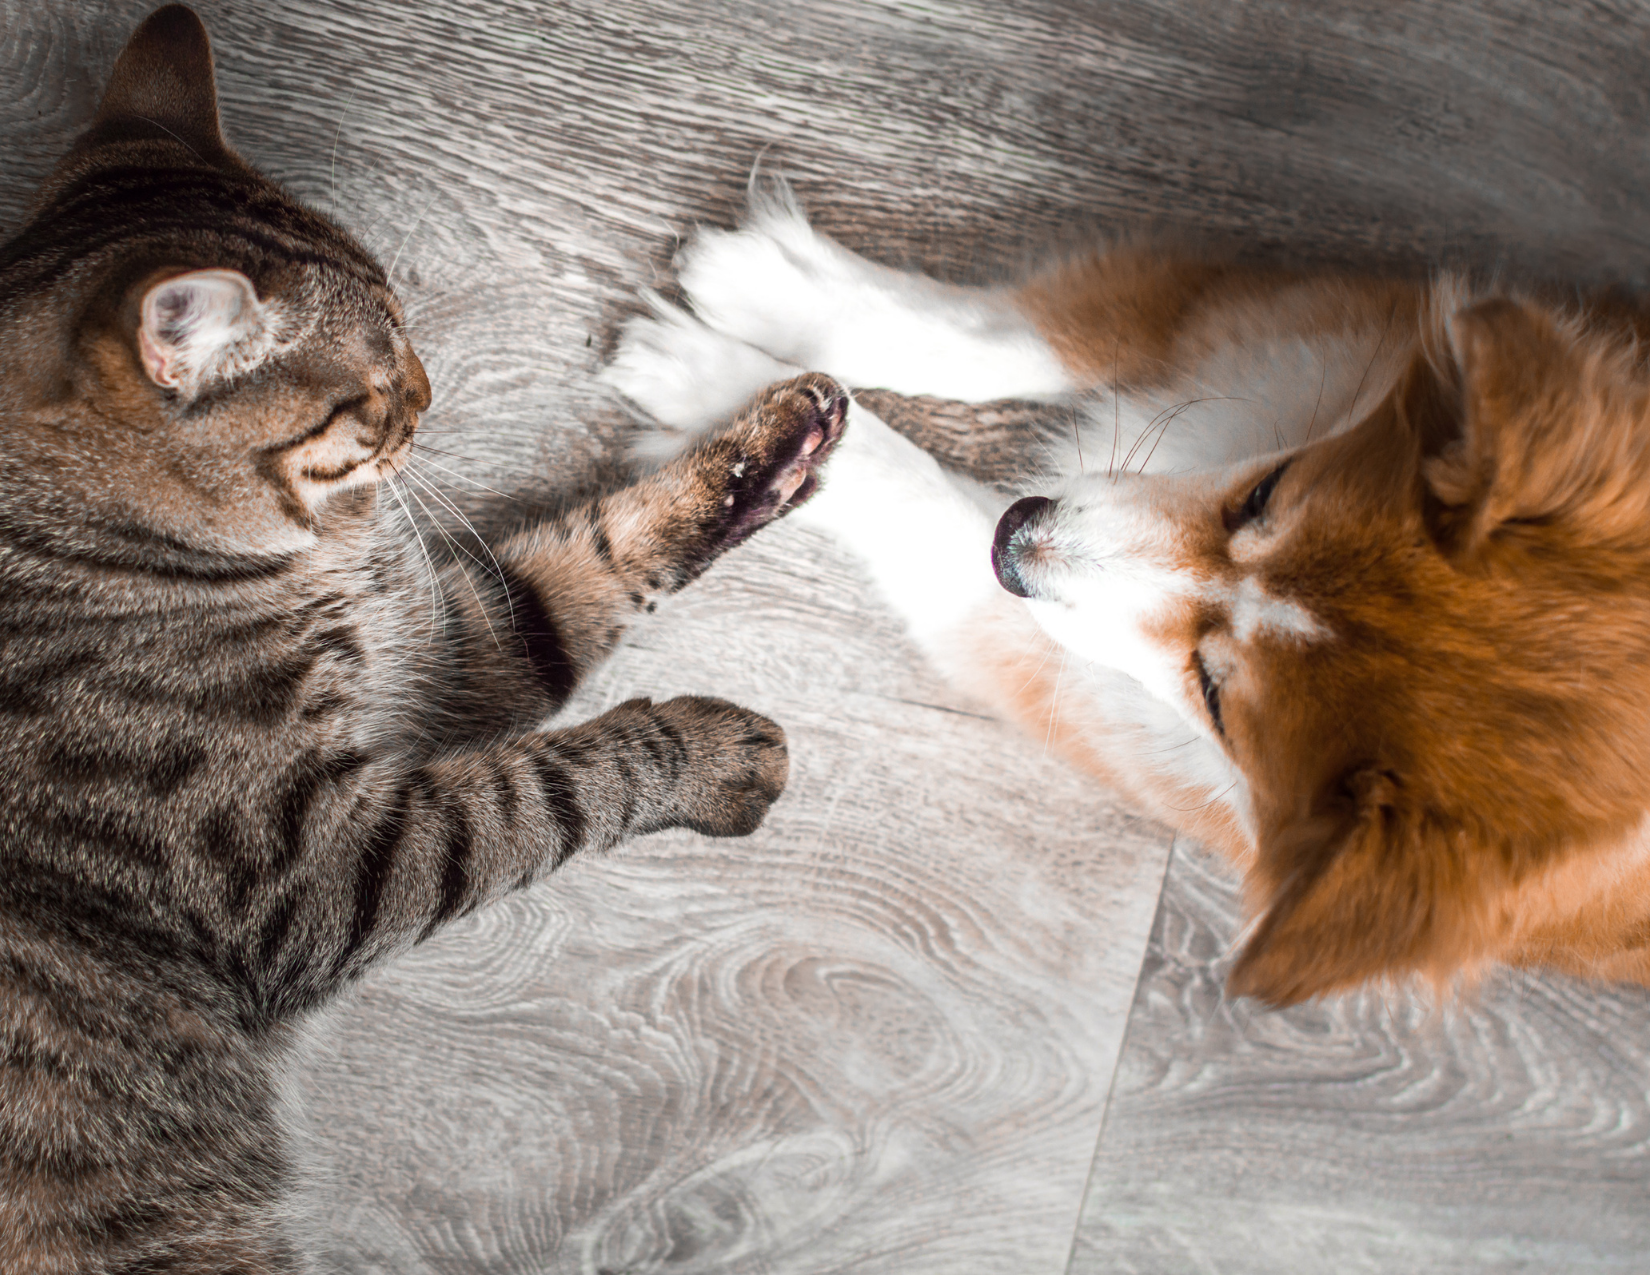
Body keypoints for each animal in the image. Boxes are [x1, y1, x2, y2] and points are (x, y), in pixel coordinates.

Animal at [0, 7, 851, 1260]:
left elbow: (591, 559)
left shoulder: (430, 652)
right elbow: (548, 788)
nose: (432, 391)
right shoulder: (318, 869)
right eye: (372, 382)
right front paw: (703, 755)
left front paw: (762, 451)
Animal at [607, 186, 1650, 1002]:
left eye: (1218, 699)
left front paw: (738, 413)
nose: (1017, 538)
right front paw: (785, 300)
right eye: (1265, 495)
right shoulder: (1301, 321)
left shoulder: (1087, 696)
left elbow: (920, 501)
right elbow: (1019, 335)